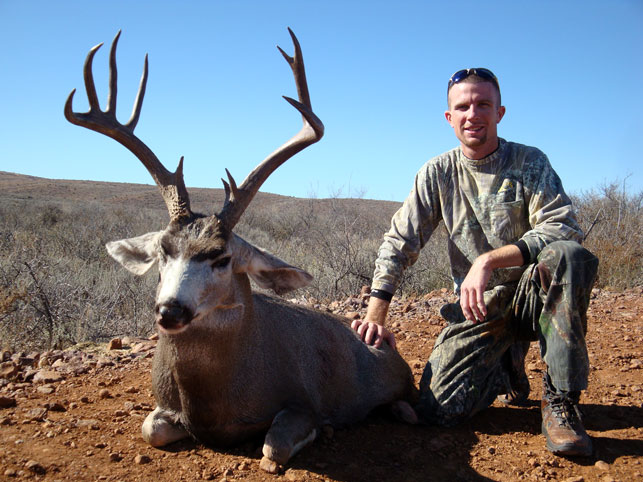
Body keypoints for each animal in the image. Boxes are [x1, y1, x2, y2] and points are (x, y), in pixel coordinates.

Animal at [65, 29, 418, 470]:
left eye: (222, 257)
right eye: (163, 250)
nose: (170, 311)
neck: (213, 401)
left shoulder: (303, 401)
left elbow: (275, 446)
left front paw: (321, 430)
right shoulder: (165, 410)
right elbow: (151, 429)